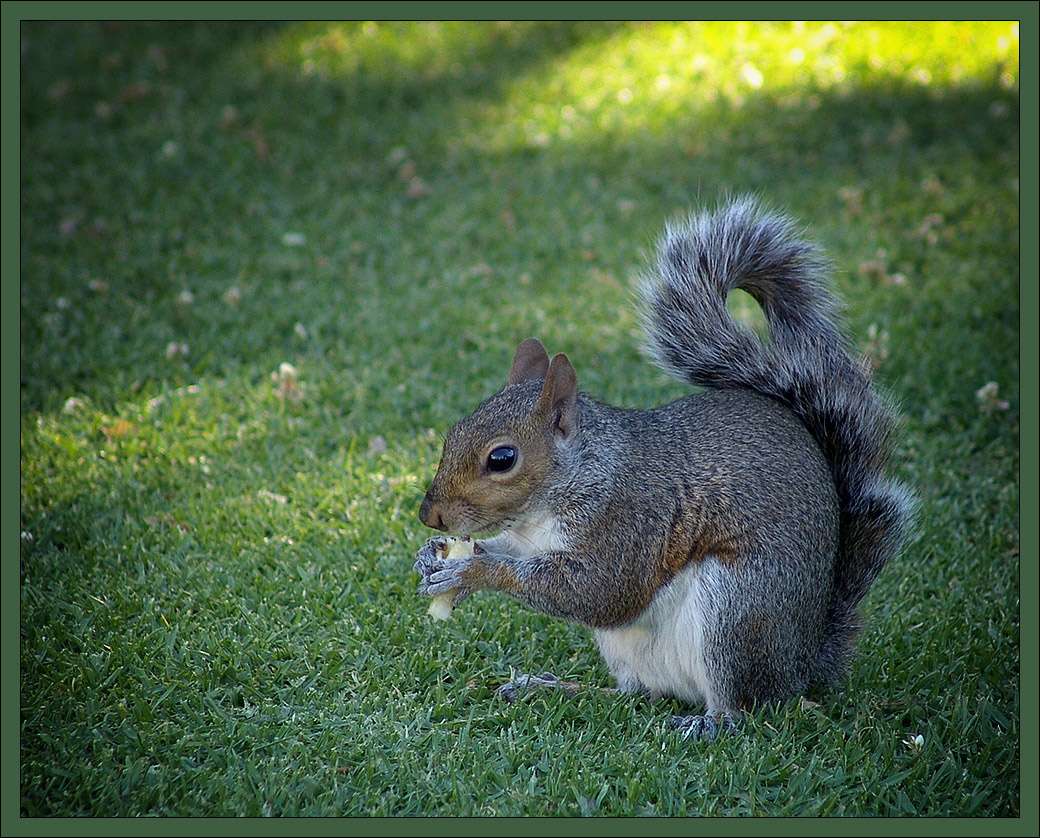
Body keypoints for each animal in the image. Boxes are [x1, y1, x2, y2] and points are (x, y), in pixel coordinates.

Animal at [413, 196, 912, 739]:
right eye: (454, 431)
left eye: (502, 458)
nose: (429, 516)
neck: (556, 497)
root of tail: (804, 663)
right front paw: (433, 558)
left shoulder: (629, 522)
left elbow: (596, 591)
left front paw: (473, 570)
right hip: (634, 649)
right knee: (636, 694)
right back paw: (549, 687)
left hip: (739, 610)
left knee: (749, 705)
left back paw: (708, 724)